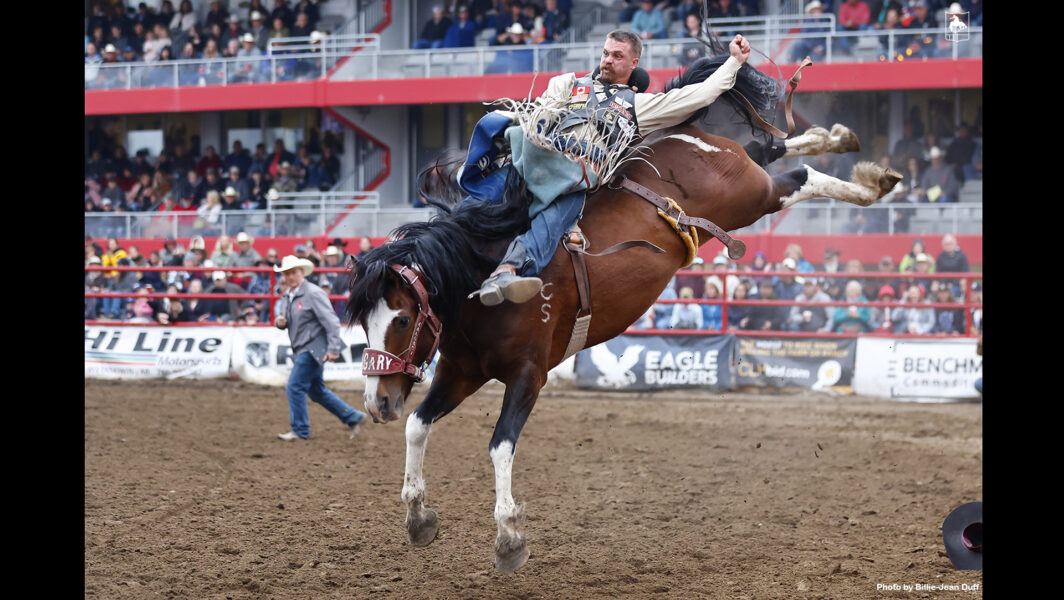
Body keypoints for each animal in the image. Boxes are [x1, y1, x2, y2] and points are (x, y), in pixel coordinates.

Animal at [344, 120, 893, 570]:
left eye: (402, 318)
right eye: (363, 323)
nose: (376, 402)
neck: (486, 280)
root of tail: (687, 138)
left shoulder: (528, 375)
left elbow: (500, 446)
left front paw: (509, 539)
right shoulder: (461, 372)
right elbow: (417, 426)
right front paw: (418, 516)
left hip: (750, 197)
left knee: (797, 176)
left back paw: (870, 184)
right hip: (745, 179)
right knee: (770, 148)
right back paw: (838, 140)